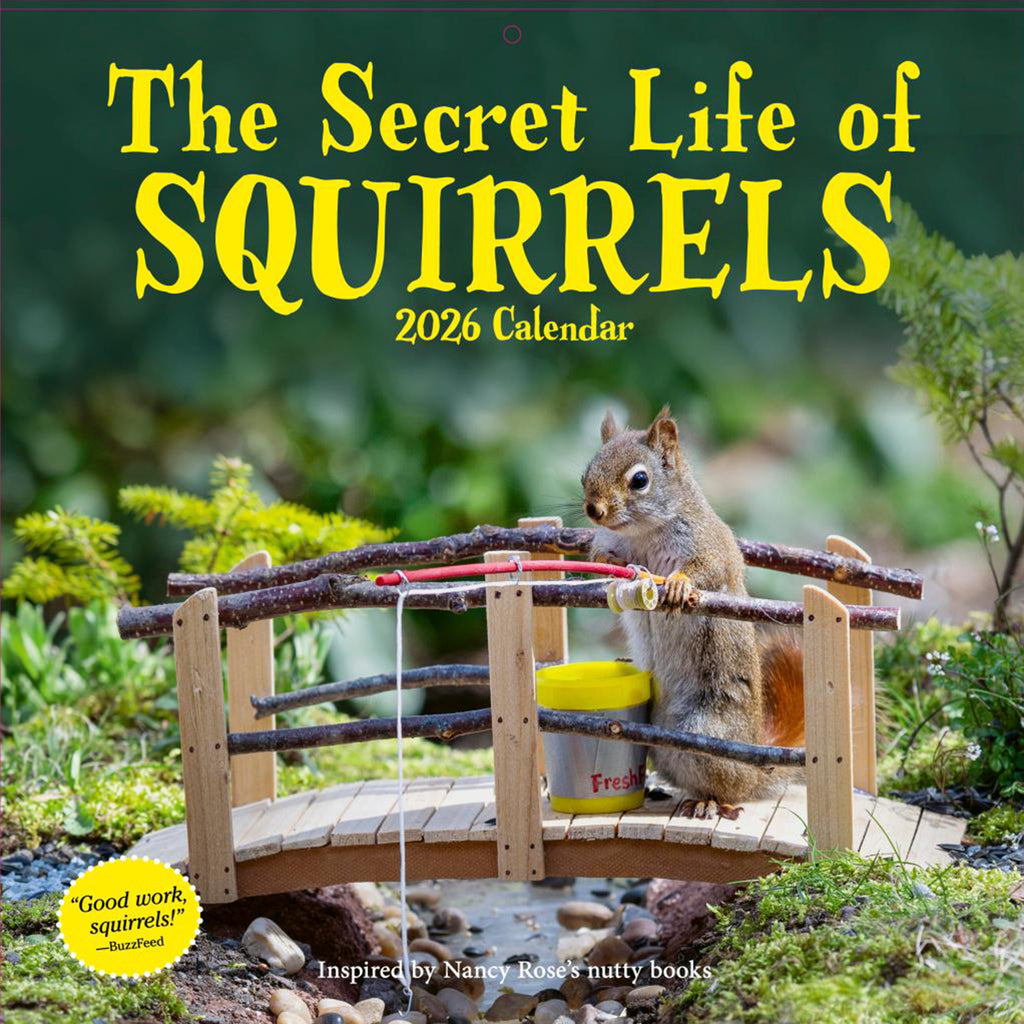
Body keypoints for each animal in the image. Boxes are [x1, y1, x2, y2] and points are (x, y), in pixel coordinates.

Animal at [582, 405, 805, 819]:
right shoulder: (611, 543)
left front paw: (679, 585)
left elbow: (707, 570)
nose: (594, 510)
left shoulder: (709, 547)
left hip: (706, 732)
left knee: (729, 789)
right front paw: (611, 571)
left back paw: (709, 802)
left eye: (640, 480)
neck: (642, 533)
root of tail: (754, 771)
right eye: (586, 473)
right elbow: (603, 559)